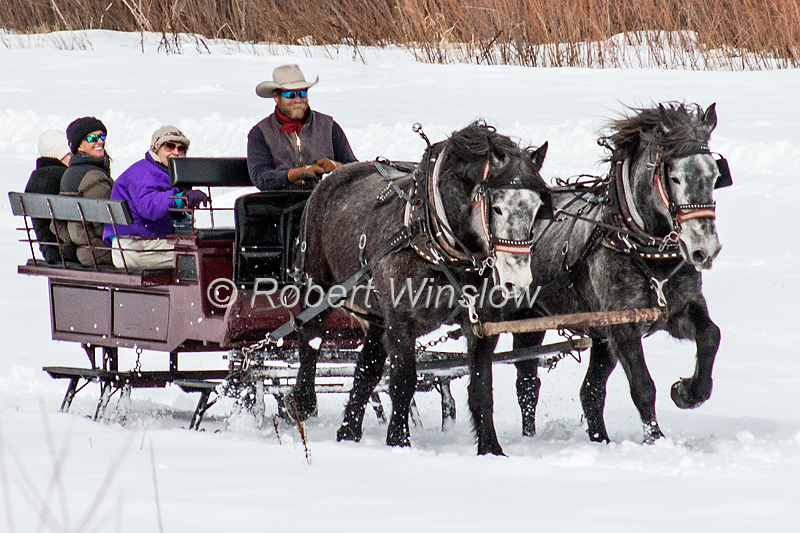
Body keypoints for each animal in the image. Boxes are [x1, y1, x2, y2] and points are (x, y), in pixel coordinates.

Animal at [290, 122, 552, 455]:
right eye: (496, 207)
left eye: (538, 209)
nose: (516, 281)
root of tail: (329, 178)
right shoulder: (402, 321)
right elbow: (404, 381)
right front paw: (398, 441)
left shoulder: (481, 324)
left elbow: (481, 387)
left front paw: (491, 449)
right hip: (317, 287)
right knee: (310, 341)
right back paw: (302, 402)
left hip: (377, 314)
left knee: (367, 367)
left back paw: (348, 431)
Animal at [513, 103, 729, 443]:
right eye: (674, 177)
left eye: (714, 174)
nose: (705, 248)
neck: (641, 246)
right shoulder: (623, 326)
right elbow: (642, 385)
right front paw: (655, 439)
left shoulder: (677, 309)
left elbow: (710, 335)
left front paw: (688, 392)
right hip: (526, 319)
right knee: (527, 384)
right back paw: (529, 437)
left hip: (599, 339)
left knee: (589, 391)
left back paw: (600, 439)